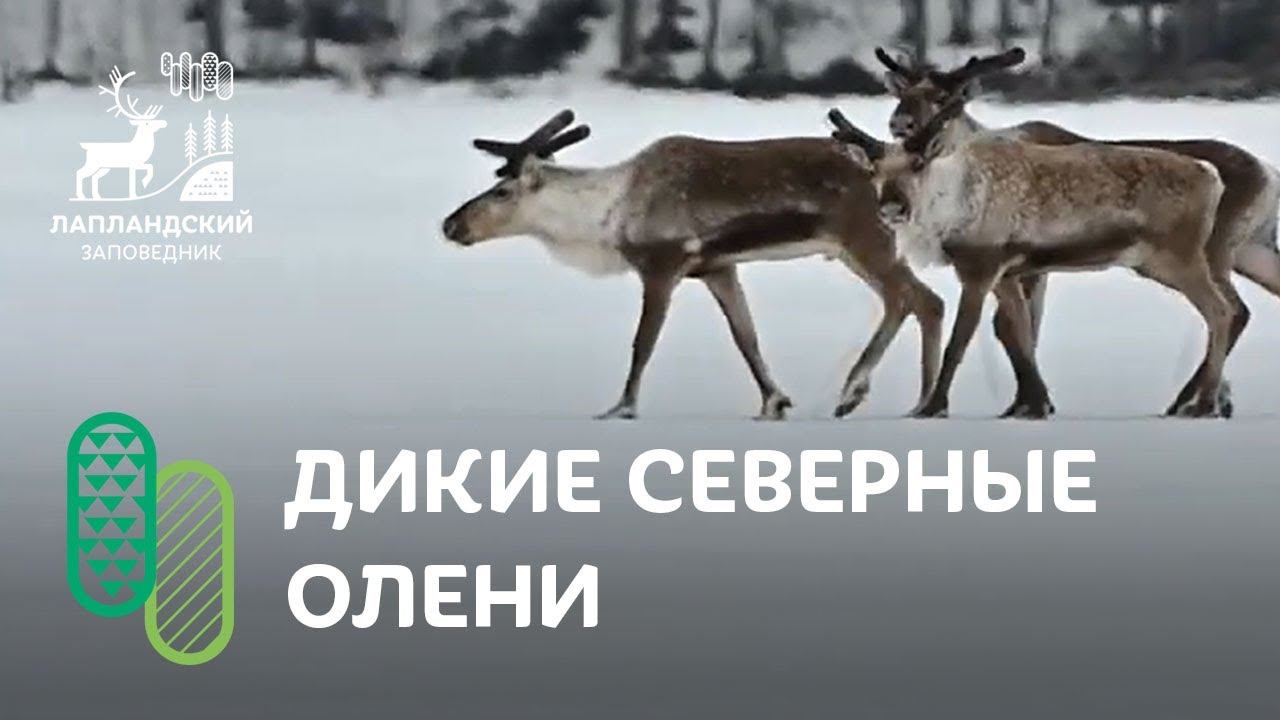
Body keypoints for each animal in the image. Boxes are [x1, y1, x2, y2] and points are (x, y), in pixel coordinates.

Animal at [75, 67, 167, 200]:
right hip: (93, 163)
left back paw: (97, 197)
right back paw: (82, 196)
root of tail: (86, 146)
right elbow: (139, 175)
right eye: (147, 123)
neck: (141, 148)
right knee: (80, 173)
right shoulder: (134, 163)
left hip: (104, 167)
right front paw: (141, 186)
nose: (164, 123)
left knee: (94, 177)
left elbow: (148, 168)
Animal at [441, 110, 945, 420]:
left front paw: (621, 407)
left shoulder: (663, 264)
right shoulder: (717, 268)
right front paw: (774, 401)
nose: (451, 224)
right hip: (855, 249)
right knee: (923, 300)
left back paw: (861, 392)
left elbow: (642, 343)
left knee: (911, 297)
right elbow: (746, 337)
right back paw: (916, 400)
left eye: (503, 192)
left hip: (865, 239)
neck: (608, 218)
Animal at [830, 97, 1232, 419]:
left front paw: (933, 407)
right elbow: (1022, 335)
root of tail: (1212, 177)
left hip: (1176, 256)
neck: (949, 207)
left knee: (1221, 311)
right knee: (1223, 310)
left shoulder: (980, 268)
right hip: (1158, 262)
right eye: (874, 171)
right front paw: (1038, 405)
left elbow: (959, 343)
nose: (892, 208)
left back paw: (1204, 405)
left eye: (918, 163)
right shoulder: (1006, 274)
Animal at [875, 47, 1280, 418]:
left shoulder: (1024, 265)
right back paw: (1200, 399)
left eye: (942, 98)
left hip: (1215, 250)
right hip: (1251, 249)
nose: (899, 124)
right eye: (902, 94)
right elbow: (1018, 328)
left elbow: (1011, 326)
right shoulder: (1023, 266)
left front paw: (1029, 402)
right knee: (1241, 308)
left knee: (1232, 310)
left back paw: (1197, 401)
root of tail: (1269, 175)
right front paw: (1026, 402)